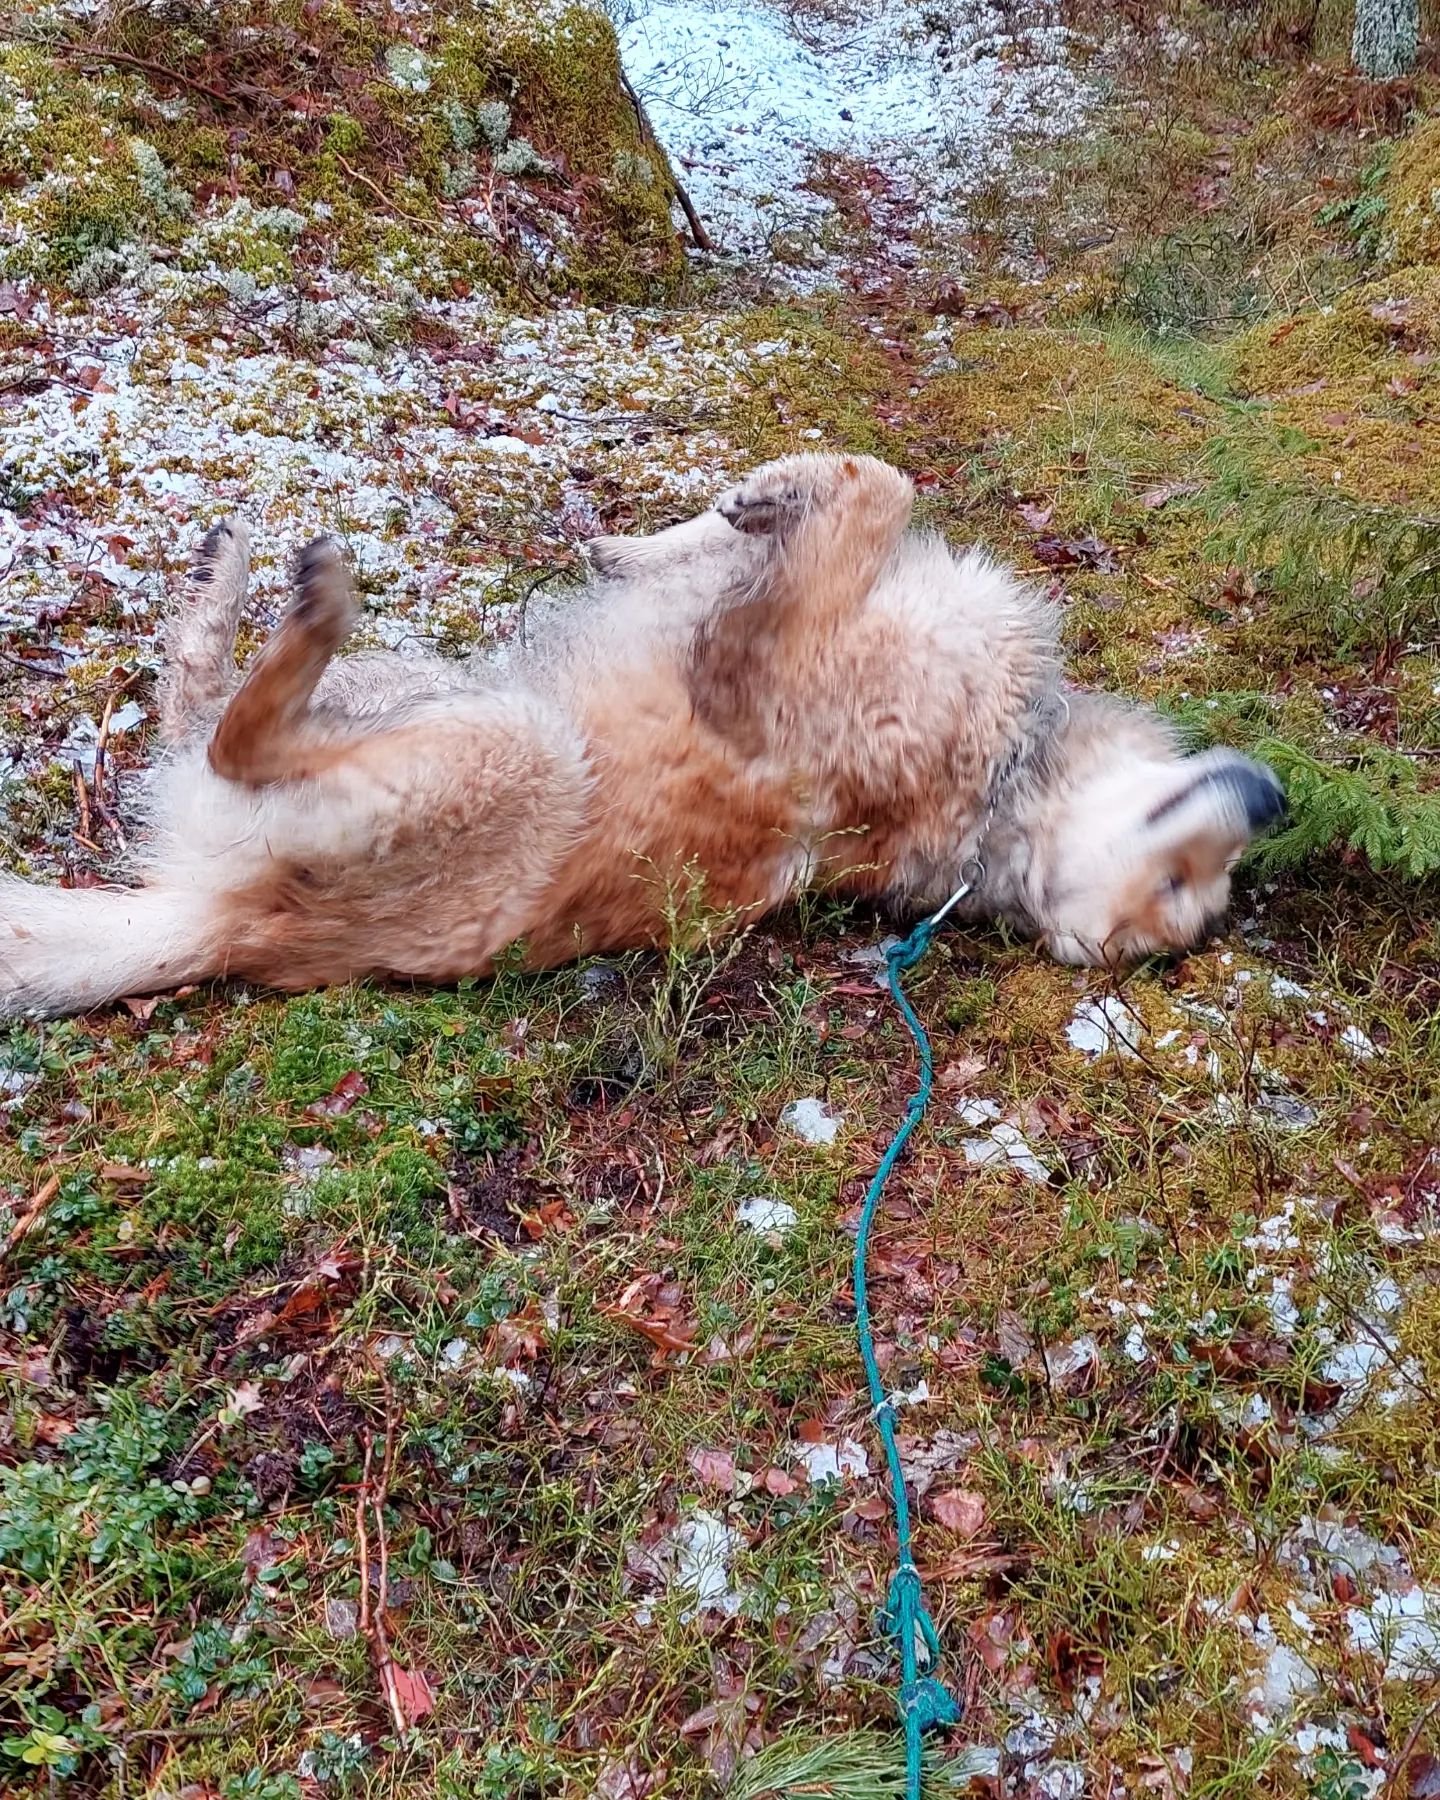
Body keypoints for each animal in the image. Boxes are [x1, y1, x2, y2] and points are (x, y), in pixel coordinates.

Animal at [0, 450, 1281, 1022]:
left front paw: (764, 497)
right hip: (428, 688)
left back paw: (301, 608)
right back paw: (222, 587)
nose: (1270, 803)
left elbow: (877, 490)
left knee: (233, 738)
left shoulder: (754, 664)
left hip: (507, 747)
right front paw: (674, 528)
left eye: (1180, 893)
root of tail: (225, 932)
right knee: (191, 715)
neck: (1008, 790)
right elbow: (846, 500)